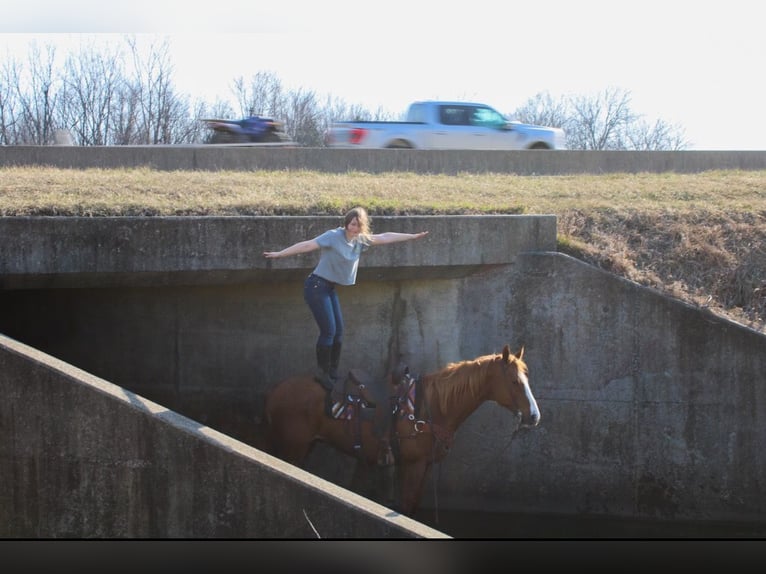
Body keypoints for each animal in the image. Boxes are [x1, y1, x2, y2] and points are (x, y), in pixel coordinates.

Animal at [263, 344, 540, 516]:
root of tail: (276, 389)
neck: (429, 408)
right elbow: (406, 506)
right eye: (514, 382)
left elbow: (413, 505)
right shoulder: (413, 464)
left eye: (527, 378)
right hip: (294, 447)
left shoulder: (426, 466)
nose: (534, 416)